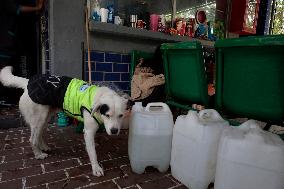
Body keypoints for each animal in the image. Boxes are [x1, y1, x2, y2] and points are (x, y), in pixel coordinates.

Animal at [0, 65, 129, 176]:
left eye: (121, 115)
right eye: (107, 115)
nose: (114, 131)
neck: (98, 97)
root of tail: (27, 83)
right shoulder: (88, 132)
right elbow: (93, 152)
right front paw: (96, 168)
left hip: (45, 118)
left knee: (39, 134)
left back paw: (43, 147)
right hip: (39, 118)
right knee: (32, 139)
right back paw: (38, 154)